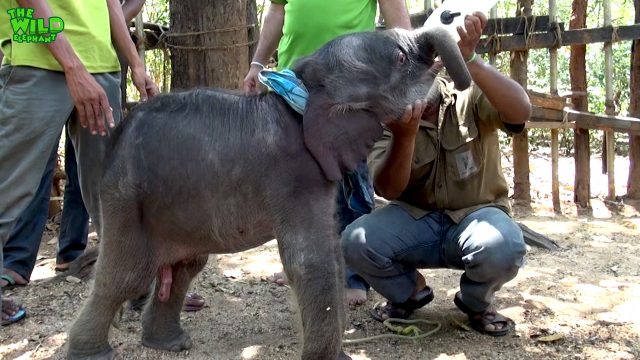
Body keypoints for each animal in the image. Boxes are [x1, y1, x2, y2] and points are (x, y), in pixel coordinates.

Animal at [66, 26, 470, 360]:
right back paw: (94, 354)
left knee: (184, 268)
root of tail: (116, 137)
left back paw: (169, 344)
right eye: (400, 59)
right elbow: (310, 261)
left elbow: (332, 251)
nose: (461, 83)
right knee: (127, 276)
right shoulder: (293, 177)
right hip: (126, 200)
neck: (302, 90)